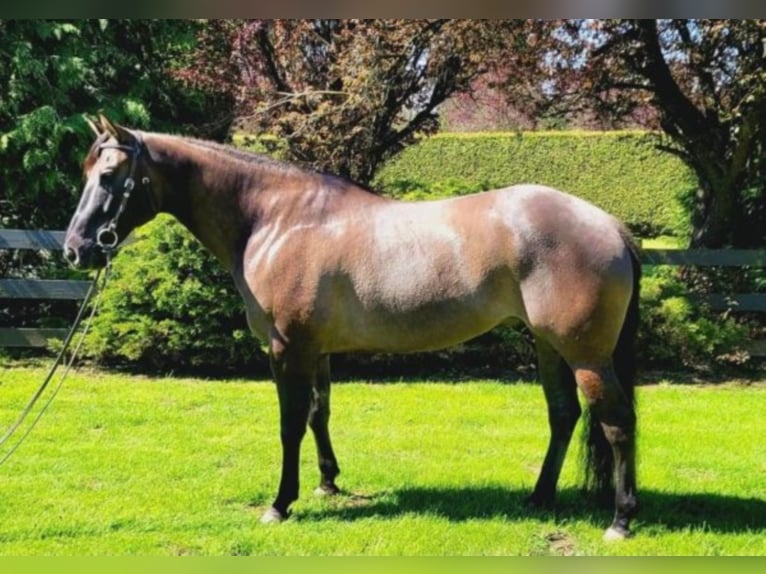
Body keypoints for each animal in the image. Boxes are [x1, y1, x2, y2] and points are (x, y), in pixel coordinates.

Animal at [64, 115, 640, 544]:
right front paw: (327, 483)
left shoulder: (286, 349)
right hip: (548, 346)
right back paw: (539, 498)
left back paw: (620, 519)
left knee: (616, 422)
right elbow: (319, 414)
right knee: (563, 415)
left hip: (585, 353)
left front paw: (281, 503)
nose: (76, 248)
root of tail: (610, 225)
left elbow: (290, 424)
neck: (275, 219)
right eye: (87, 170)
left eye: (110, 176)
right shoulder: (315, 349)